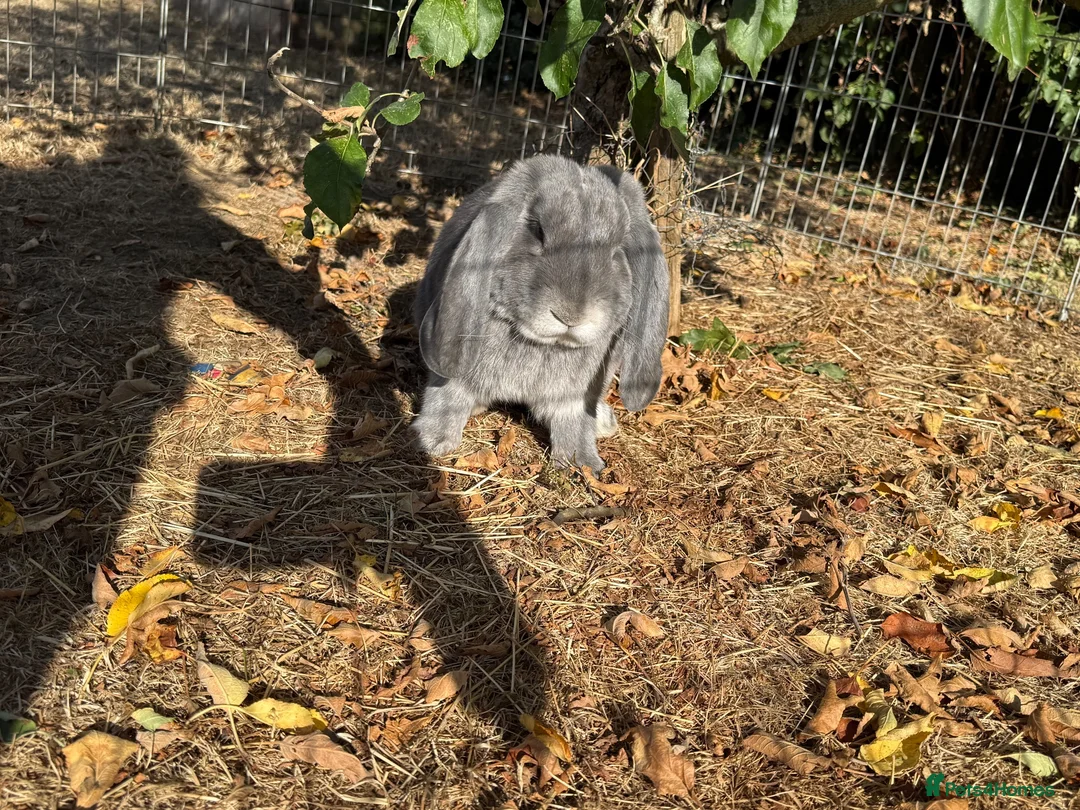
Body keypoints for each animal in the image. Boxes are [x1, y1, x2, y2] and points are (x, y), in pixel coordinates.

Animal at [411, 155, 669, 472]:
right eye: (537, 231)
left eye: (618, 249)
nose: (571, 316)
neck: (542, 344)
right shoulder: (454, 377)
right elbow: (447, 397)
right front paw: (432, 441)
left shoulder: (575, 395)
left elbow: (573, 422)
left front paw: (582, 464)